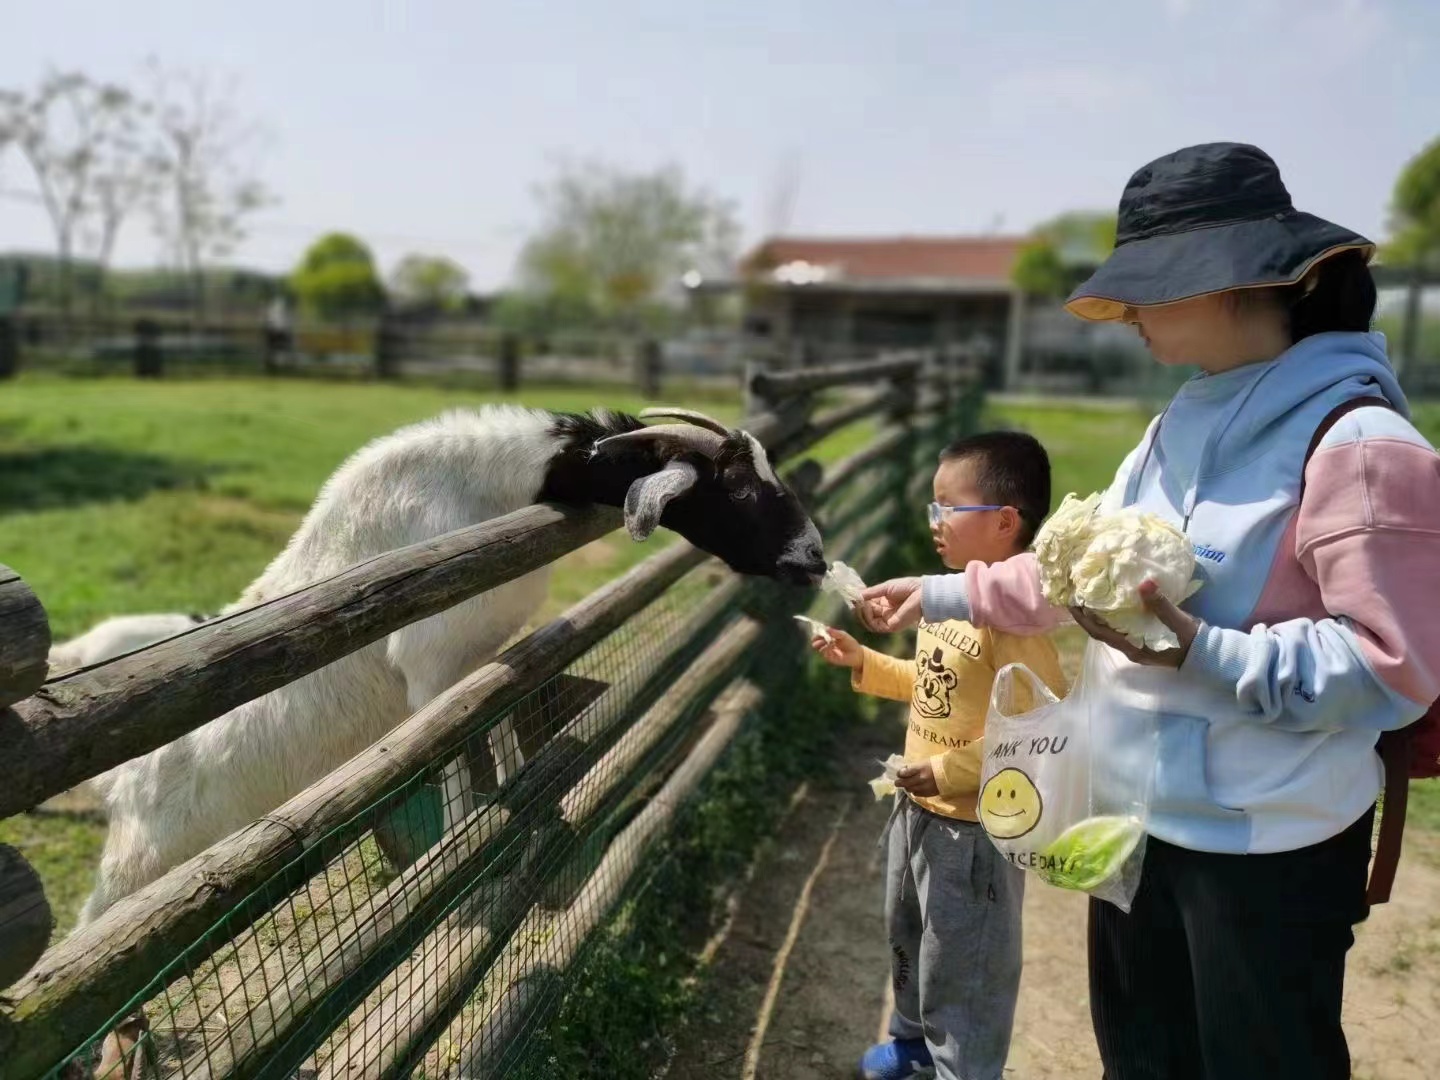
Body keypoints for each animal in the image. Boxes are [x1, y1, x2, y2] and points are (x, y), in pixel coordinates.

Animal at [78, 406, 823, 933]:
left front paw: (521, 812)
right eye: (737, 488)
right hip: (139, 864)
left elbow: (494, 727)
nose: (812, 558)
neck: (489, 486)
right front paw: (465, 869)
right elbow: (452, 756)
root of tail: (123, 784)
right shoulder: (431, 670)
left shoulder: (484, 651)